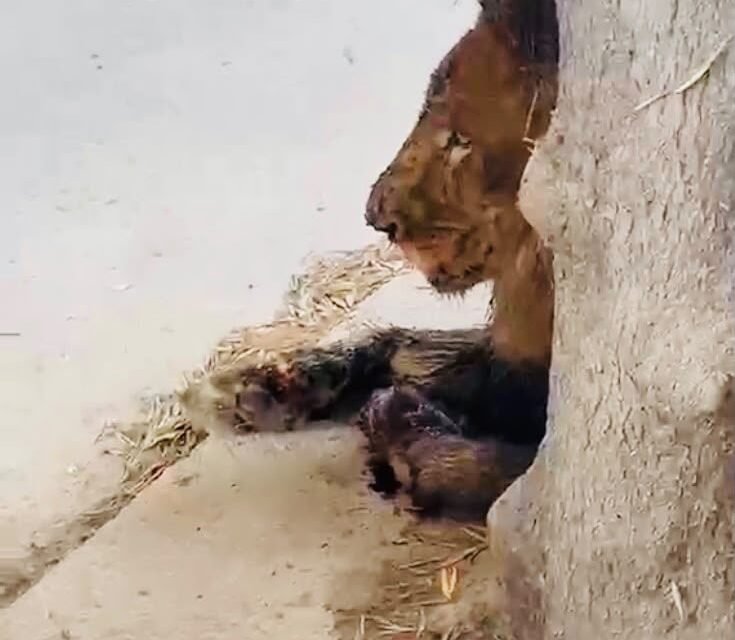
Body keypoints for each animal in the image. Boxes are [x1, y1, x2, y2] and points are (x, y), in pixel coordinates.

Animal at [203, 0, 559, 522]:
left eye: (460, 140)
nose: (376, 218)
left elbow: (517, 473)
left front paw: (408, 433)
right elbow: (405, 345)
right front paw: (271, 384)